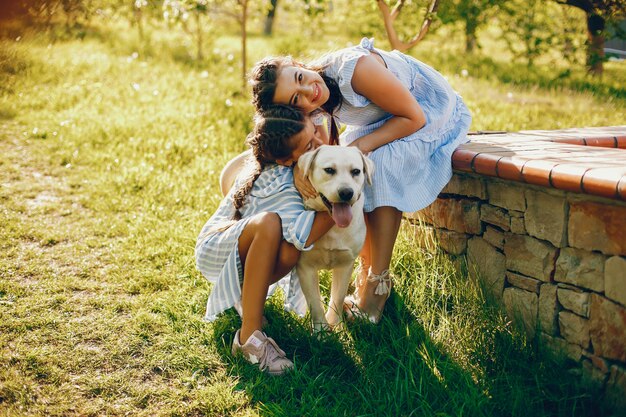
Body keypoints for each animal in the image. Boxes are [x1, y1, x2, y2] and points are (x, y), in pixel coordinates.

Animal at [294, 145, 372, 334]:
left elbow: (337, 297)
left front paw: (336, 326)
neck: (333, 225)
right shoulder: (305, 267)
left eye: (356, 171)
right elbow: (315, 303)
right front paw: (322, 333)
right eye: (329, 170)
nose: (346, 192)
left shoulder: (345, 265)